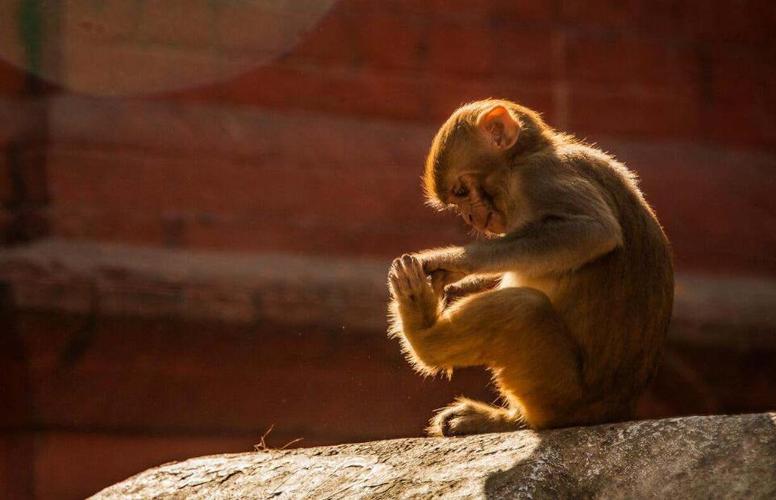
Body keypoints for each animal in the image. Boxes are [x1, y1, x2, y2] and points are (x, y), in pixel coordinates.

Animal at [386, 99, 672, 436]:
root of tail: (614, 411)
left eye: (461, 192)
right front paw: (453, 277)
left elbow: (594, 230)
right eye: (459, 200)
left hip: (562, 392)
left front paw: (452, 260)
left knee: (523, 309)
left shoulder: (538, 178)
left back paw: (422, 329)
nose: (469, 218)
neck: (525, 158)